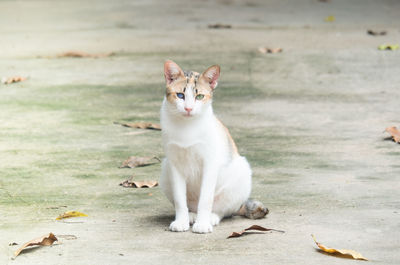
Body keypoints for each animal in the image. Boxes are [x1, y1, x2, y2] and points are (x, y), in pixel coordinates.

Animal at [159, 60, 268, 233]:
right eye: (180, 95)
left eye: (199, 96)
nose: (188, 108)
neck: (187, 126)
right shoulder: (175, 164)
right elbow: (179, 199)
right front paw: (181, 221)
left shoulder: (210, 164)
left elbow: (206, 198)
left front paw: (203, 224)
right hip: (165, 169)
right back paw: (191, 215)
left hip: (241, 173)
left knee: (224, 209)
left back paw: (211, 217)